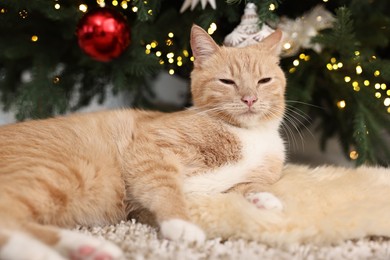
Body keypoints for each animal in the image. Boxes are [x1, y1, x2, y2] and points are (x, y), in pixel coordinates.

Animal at [0, 24, 286, 260]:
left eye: (264, 81)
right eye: (227, 81)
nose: (250, 99)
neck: (248, 134)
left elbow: (246, 187)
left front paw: (263, 198)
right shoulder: (152, 151)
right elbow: (167, 189)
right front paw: (181, 223)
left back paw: (88, 248)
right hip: (63, 171)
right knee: (8, 220)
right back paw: (46, 252)